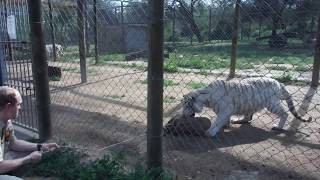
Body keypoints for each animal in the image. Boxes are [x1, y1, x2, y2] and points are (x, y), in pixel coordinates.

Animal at [184, 77, 312, 136]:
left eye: (187, 105)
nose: (185, 115)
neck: (206, 98)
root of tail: (279, 83)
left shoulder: (225, 109)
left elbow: (217, 121)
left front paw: (210, 132)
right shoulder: (225, 110)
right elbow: (224, 119)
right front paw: (226, 124)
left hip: (272, 104)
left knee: (285, 113)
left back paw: (278, 126)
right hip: (248, 105)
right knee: (248, 117)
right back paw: (237, 120)